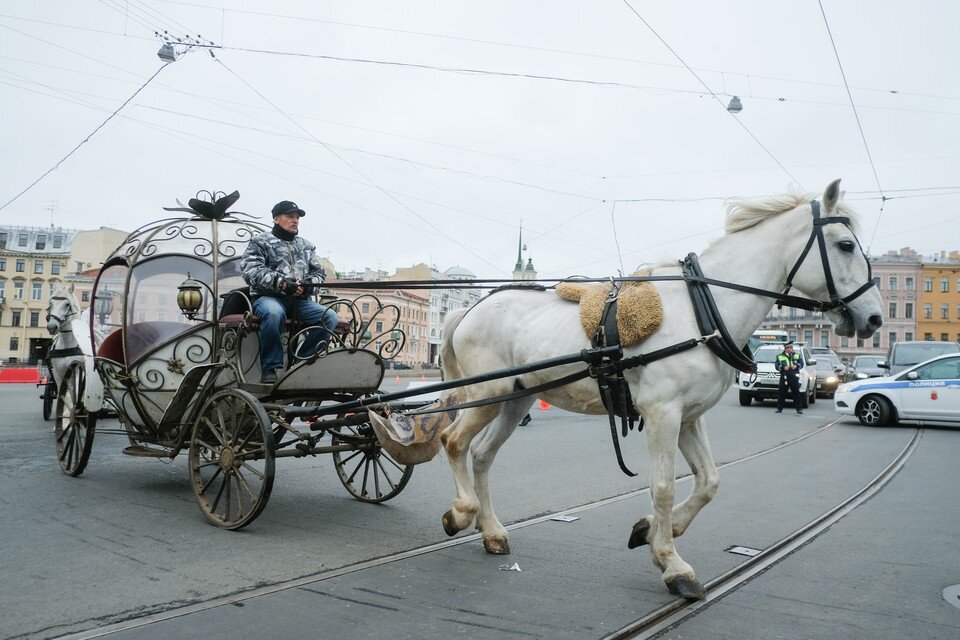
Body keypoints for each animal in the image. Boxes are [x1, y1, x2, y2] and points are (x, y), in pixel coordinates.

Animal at [438, 180, 880, 600]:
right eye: (845, 245)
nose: (874, 318)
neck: (702, 310)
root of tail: (471, 308)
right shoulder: (662, 413)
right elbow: (664, 487)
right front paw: (672, 564)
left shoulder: (689, 418)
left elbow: (708, 482)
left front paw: (648, 530)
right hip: (488, 395)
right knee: (454, 441)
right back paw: (460, 513)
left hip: (516, 400)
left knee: (482, 455)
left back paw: (492, 531)